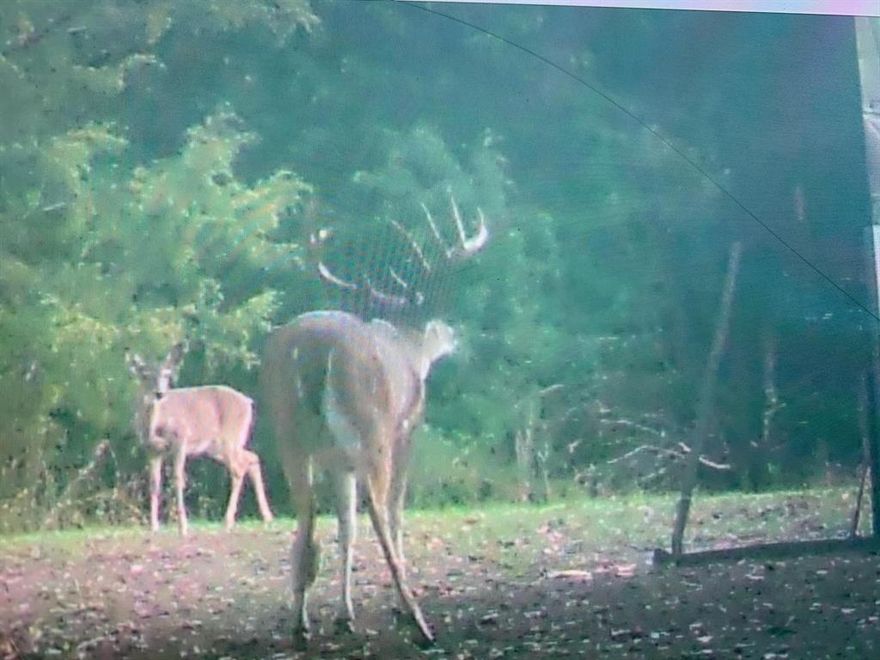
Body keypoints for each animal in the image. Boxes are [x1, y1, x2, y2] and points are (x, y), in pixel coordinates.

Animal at [126, 343, 274, 536]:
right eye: (145, 375)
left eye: (167, 374)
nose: (159, 393)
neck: (155, 426)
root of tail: (248, 401)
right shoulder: (151, 449)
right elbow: (153, 483)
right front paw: (154, 526)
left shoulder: (180, 439)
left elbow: (178, 479)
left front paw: (183, 527)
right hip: (218, 447)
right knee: (252, 457)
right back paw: (267, 517)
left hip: (230, 438)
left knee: (238, 469)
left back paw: (227, 522)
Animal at [263, 193, 489, 646]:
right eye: (441, 321)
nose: (458, 339)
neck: (411, 349)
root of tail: (313, 354)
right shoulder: (408, 429)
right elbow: (397, 511)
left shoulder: (337, 461)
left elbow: (345, 528)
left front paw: (344, 614)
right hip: (371, 429)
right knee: (380, 509)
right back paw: (417, 618)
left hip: (290, 435)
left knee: (307, 518)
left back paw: (300, 623)